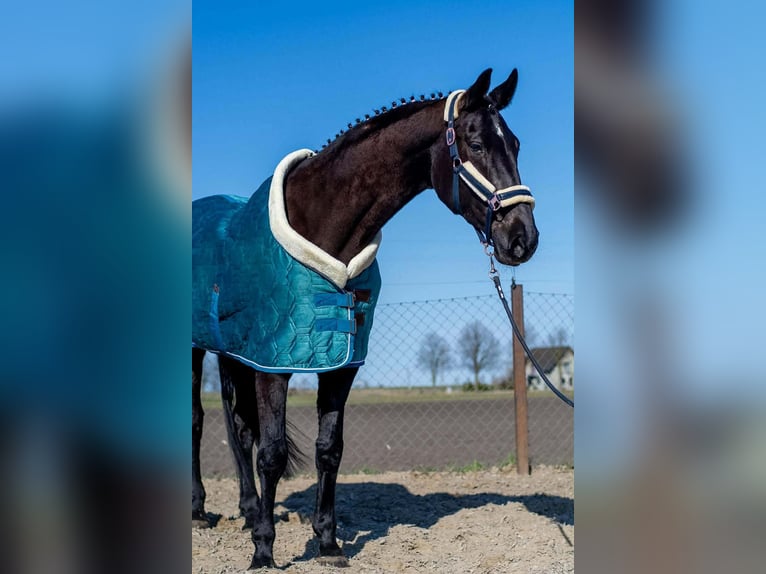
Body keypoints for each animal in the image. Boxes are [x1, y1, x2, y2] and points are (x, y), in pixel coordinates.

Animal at [192, 68, 539, 569]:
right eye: (475, 144)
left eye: (514, 144)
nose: (523, 238)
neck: (323, 226)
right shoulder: (272, 363)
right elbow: (272, 454)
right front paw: (263, 553)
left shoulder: (338, 364)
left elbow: (329, 451)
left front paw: (328, 543)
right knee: (199, 422)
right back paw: (201, 511)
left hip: (232, 352)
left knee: (237, 428)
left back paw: (249, 509)